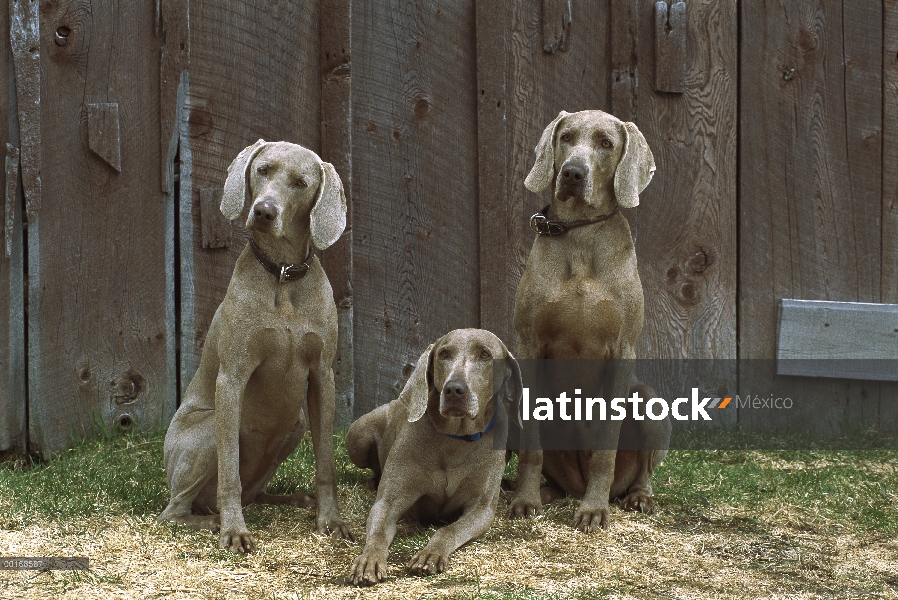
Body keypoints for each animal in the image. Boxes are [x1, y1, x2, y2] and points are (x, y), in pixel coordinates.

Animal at [158, 138, 350, 552]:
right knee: (176, 511)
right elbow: (230, 470)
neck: (282, 276)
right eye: (262, 170)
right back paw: (215, 520)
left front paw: (331, 520)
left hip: (296, 424)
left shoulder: (323, 376)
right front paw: (234, 530)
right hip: (207, 429)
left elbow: (326, 463)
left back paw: (296, 499)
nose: (263, 211)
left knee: (255, 494)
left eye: (300, 182)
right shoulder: (232, 378)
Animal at [344, 328, 524, 584]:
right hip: (357, 435)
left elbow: (449, 529)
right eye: (444, 353)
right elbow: (377, 532)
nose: (454, 389)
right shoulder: (387, 502)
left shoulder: (482, 510)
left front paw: (430, 554)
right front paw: (368, 560)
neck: (455, 439)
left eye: (485, 355)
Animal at [508, 110, 668, 532]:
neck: (580, 234)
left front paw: (594, 510)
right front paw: (525, 502)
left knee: (641, 472)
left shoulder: (622, 349)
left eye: (606, 143)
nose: (572, 173)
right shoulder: (529, 344)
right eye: (565, 137)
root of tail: (573, 485)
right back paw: (542, 493)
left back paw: (636, 498)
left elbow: (605, 449)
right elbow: (531, 447)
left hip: (648, 400)